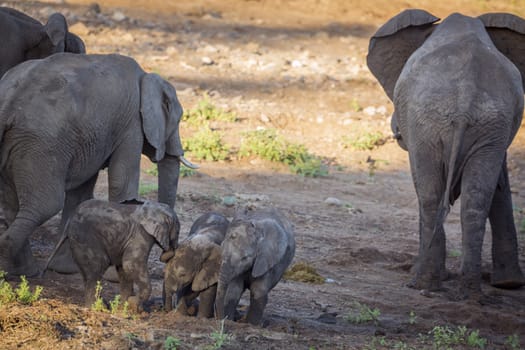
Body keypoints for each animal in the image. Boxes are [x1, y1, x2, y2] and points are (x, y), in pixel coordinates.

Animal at [0, 52, 194, 276]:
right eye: (178, 120)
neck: (146, 76)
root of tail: (8, 104)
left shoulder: (91, 138)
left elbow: (81, 192)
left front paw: (66, 269)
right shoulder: (131, 124)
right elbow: (122, 181)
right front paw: (116, 275)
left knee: (12, 203)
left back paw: (22, 271)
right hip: (41, 145)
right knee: (45, 204)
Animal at [43, 198, 178, 310]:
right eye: (176, 232)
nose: (170, 251)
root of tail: (69, 222)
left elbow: (124, 268)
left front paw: (124, 308)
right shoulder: (141, 235)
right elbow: (130, 263)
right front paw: (133, 305)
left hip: (77, 241)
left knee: (88, 273)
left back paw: (103, 305)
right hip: (85, 238)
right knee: (97, 268)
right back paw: (96, 308)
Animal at [366, 10, 524, 300]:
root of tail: (465, 100)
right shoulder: (499, 132)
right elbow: (497, 182)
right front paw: (509, 284)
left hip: (426, 123)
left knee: (429, 196)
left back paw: (422, 284)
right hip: (483, 123)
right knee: (474, 201)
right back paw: (470, 295)